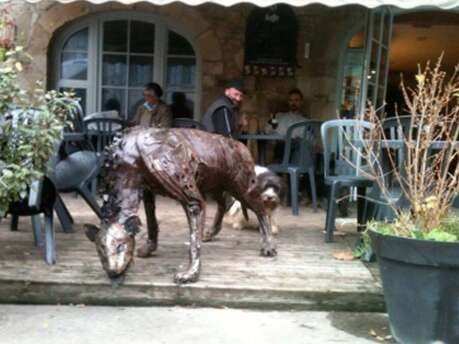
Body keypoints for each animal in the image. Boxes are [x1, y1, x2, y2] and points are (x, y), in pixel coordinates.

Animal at [85, 127, 276, 284]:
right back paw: (211, 232)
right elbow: (151, 221)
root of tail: (240, 145)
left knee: (261, 209)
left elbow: (193, 242)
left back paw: (268, 246)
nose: (112, 272)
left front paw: (191, 273)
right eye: (100, 249)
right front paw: (149, 248)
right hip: (214, 184)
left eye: (120, 246)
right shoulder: (147, 191)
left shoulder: (191, 198)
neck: (129, 157)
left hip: (242, 187)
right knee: (223, 203)